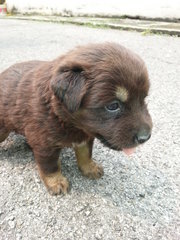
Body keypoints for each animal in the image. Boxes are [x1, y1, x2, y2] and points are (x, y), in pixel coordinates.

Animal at [0, 42, 152, 194]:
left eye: (143, 99)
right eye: (113, 106)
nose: (145, 138)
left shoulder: (85, 137)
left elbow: (86, 154)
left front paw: (90, 168)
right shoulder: (45, 144)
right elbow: (50, 166)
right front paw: (56, 182)